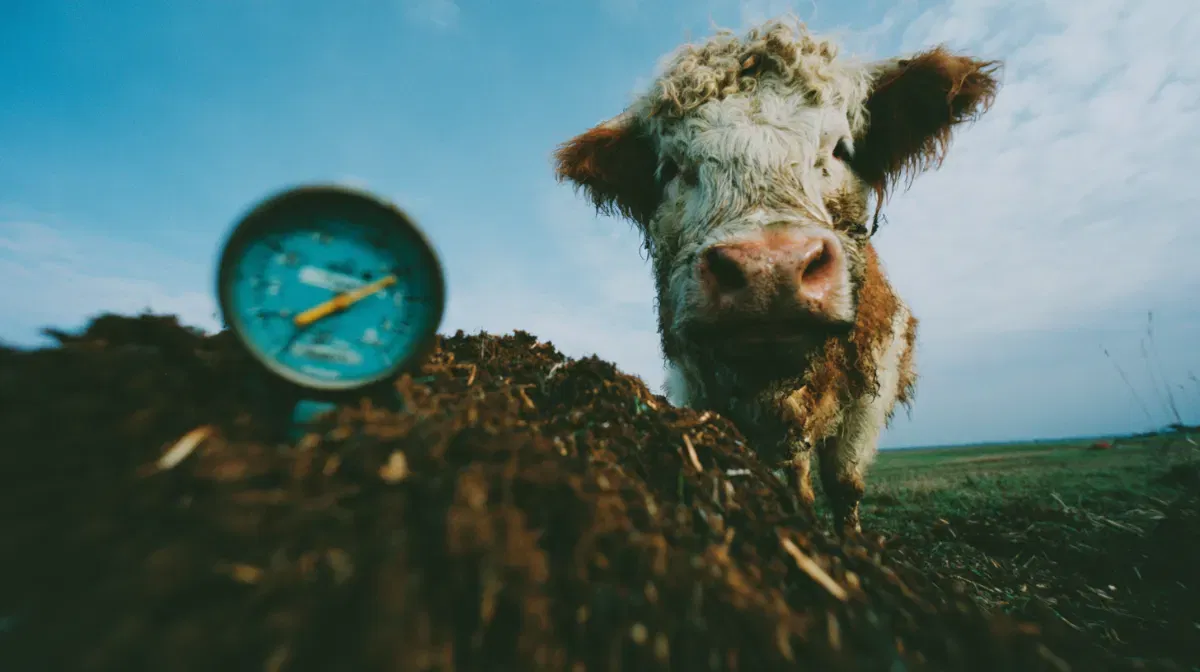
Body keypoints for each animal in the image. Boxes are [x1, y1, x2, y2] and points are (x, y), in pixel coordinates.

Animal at [552, 18, 1001, 538]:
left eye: (840, 148)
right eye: (672, 168)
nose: (769, 267)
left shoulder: (871, 388)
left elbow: (845, 482)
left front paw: (853, 546)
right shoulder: (701, 390)